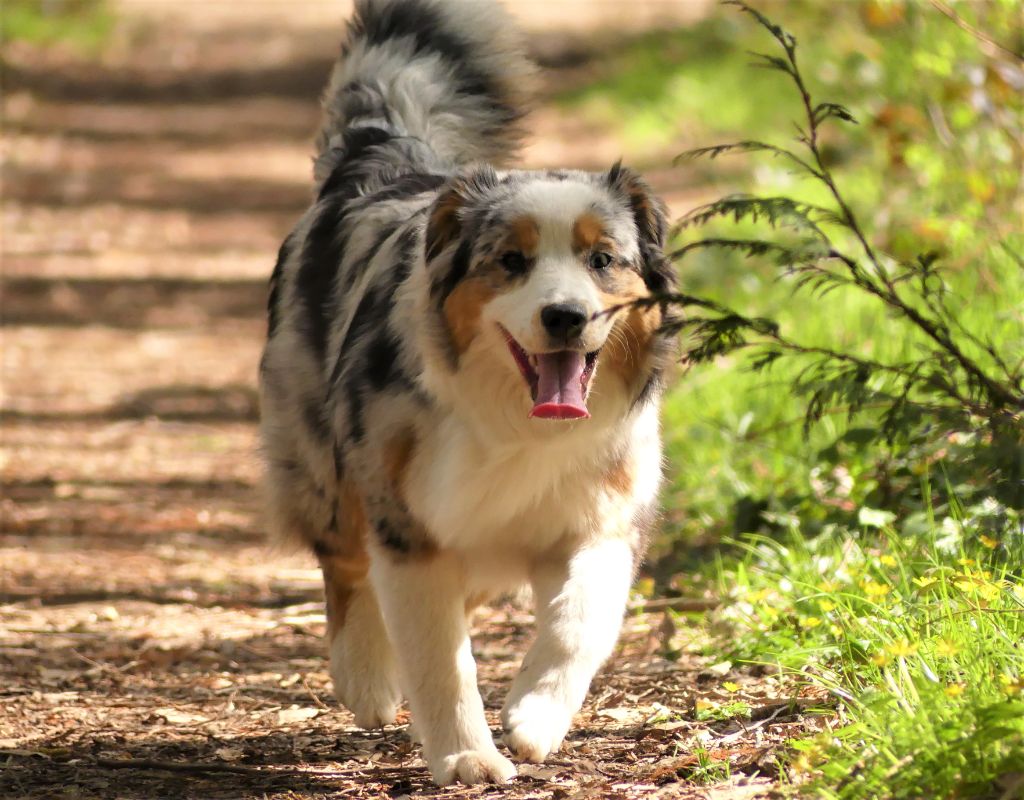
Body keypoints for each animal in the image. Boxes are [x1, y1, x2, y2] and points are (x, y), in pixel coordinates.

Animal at [260, 0, 679, 786]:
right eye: (511, 261)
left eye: (602, 259)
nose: (565, 316)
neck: (518, 425)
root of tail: (385, 156)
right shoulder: (410, 523)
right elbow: (439, 657)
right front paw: (467, 758)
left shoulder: (605, 515)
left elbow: (580, 623)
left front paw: (535, 717)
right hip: (321, 458)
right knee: (345, 563)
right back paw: (366, 677)